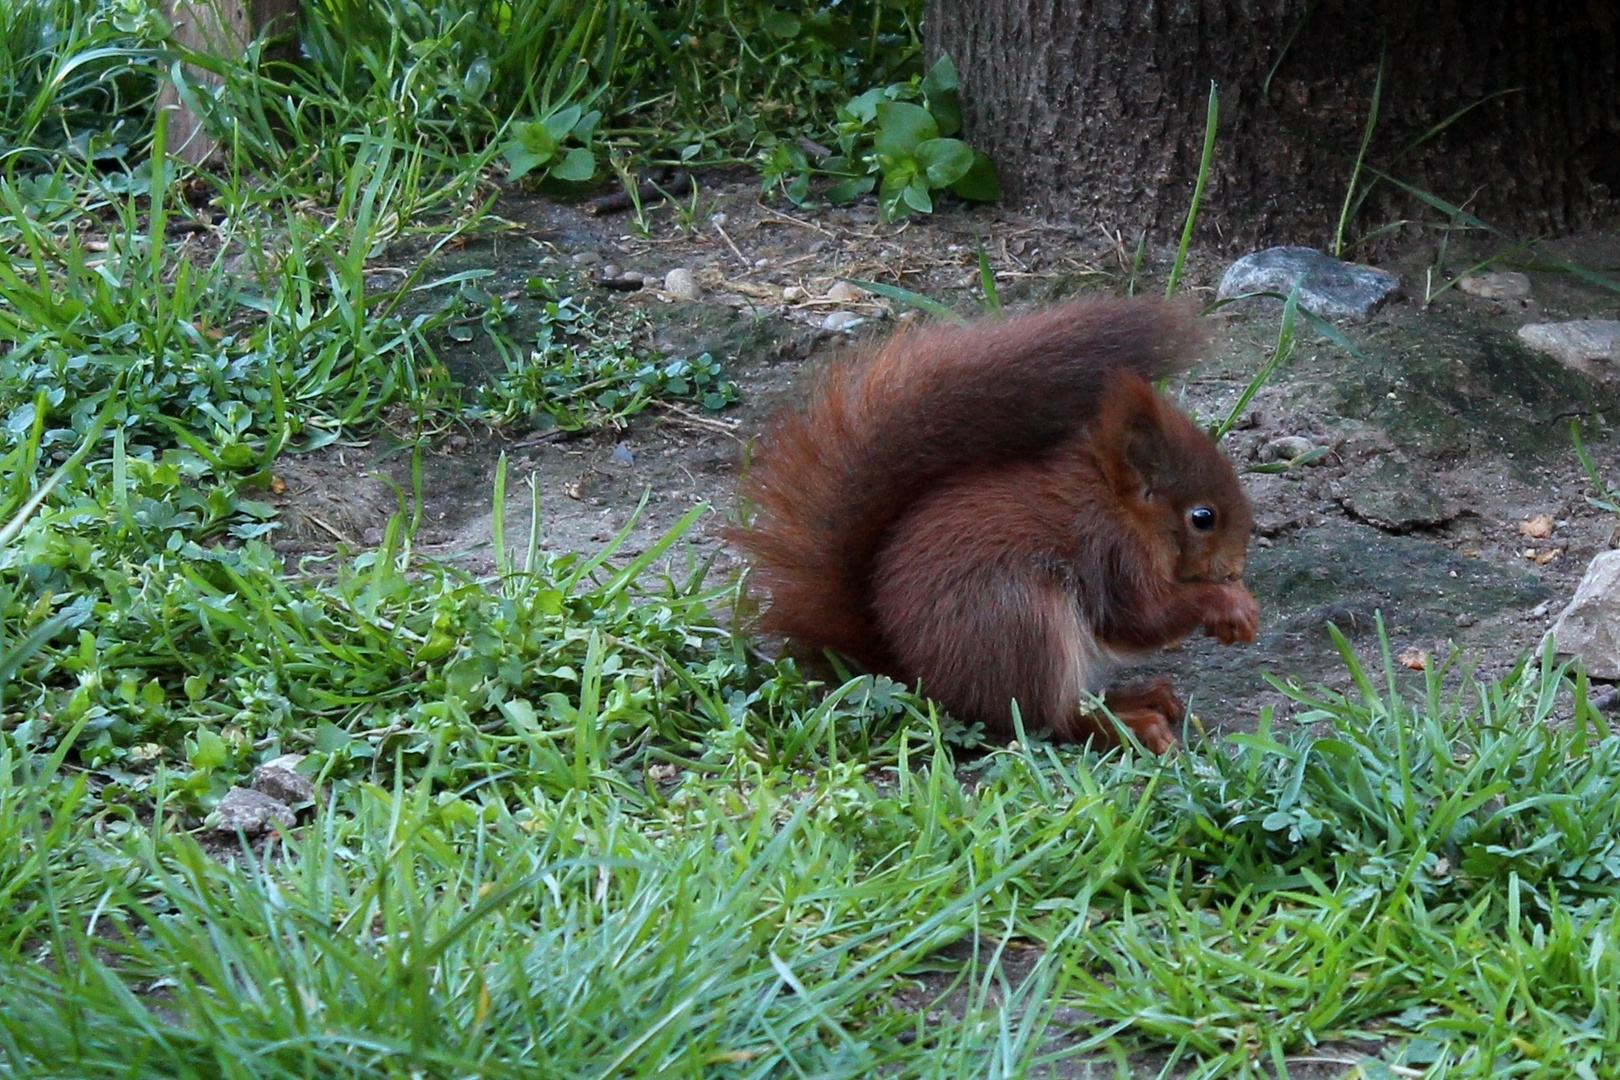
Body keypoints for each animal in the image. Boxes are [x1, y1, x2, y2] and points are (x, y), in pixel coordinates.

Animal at [729, 296, 1257, 751]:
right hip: (1020, 618)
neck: (1120, 508)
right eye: (1203, 518)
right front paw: (1227, 603)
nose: (1235, 568)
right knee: (1054, 717)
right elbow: (1138, 619)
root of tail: (916, 676)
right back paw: (1131, 724)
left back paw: (1141, 696)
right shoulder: (1112, 553)